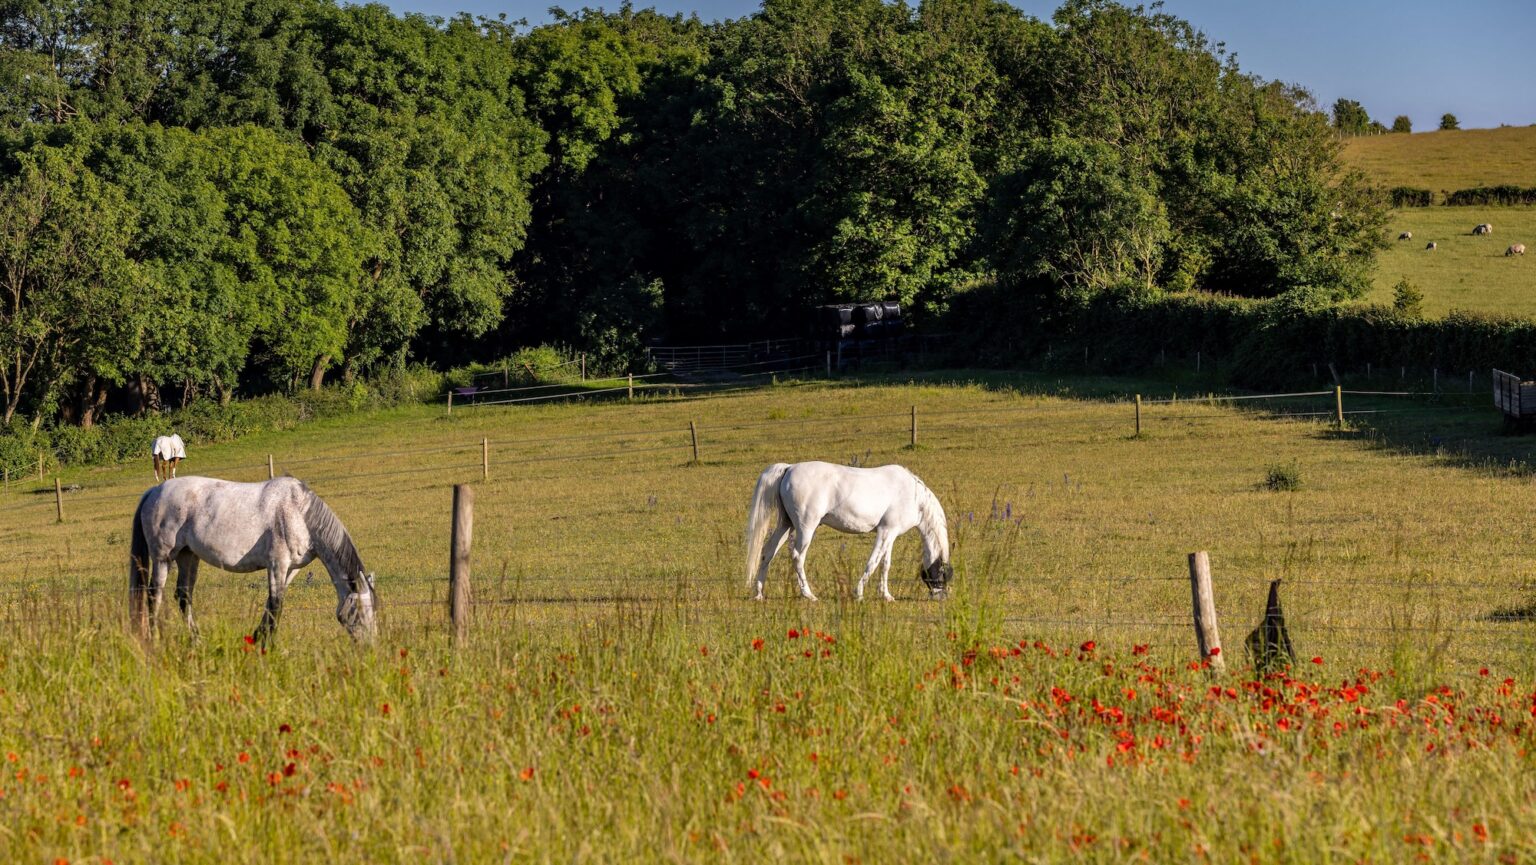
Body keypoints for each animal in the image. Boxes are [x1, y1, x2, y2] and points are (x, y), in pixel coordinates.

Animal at [129, 476, 377, 644]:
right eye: (360, 612)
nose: (371, 649)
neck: (299, 513)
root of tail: (154, 490)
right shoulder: (277, 564)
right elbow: (276, 605)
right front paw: (268, 645)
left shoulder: (290, 569)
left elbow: (271, 604)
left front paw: (257, 638)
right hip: (163, 558)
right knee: (154, 596)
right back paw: (155, 639)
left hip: (188, 557)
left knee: (183, 597)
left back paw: (197, 640)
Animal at [744, 461, 953, 602]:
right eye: (942, 575)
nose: (941, 597)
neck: (913, 496)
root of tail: (789, 468)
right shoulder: (885, 531)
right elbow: (873, 562)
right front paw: (858, 593)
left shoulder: (891, 534)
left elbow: (885, 564)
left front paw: (886, 595)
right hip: (805, 527)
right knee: (797, 557)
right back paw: (808, 594)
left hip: (786, 525)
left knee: (768, 553)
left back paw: (759, 593)